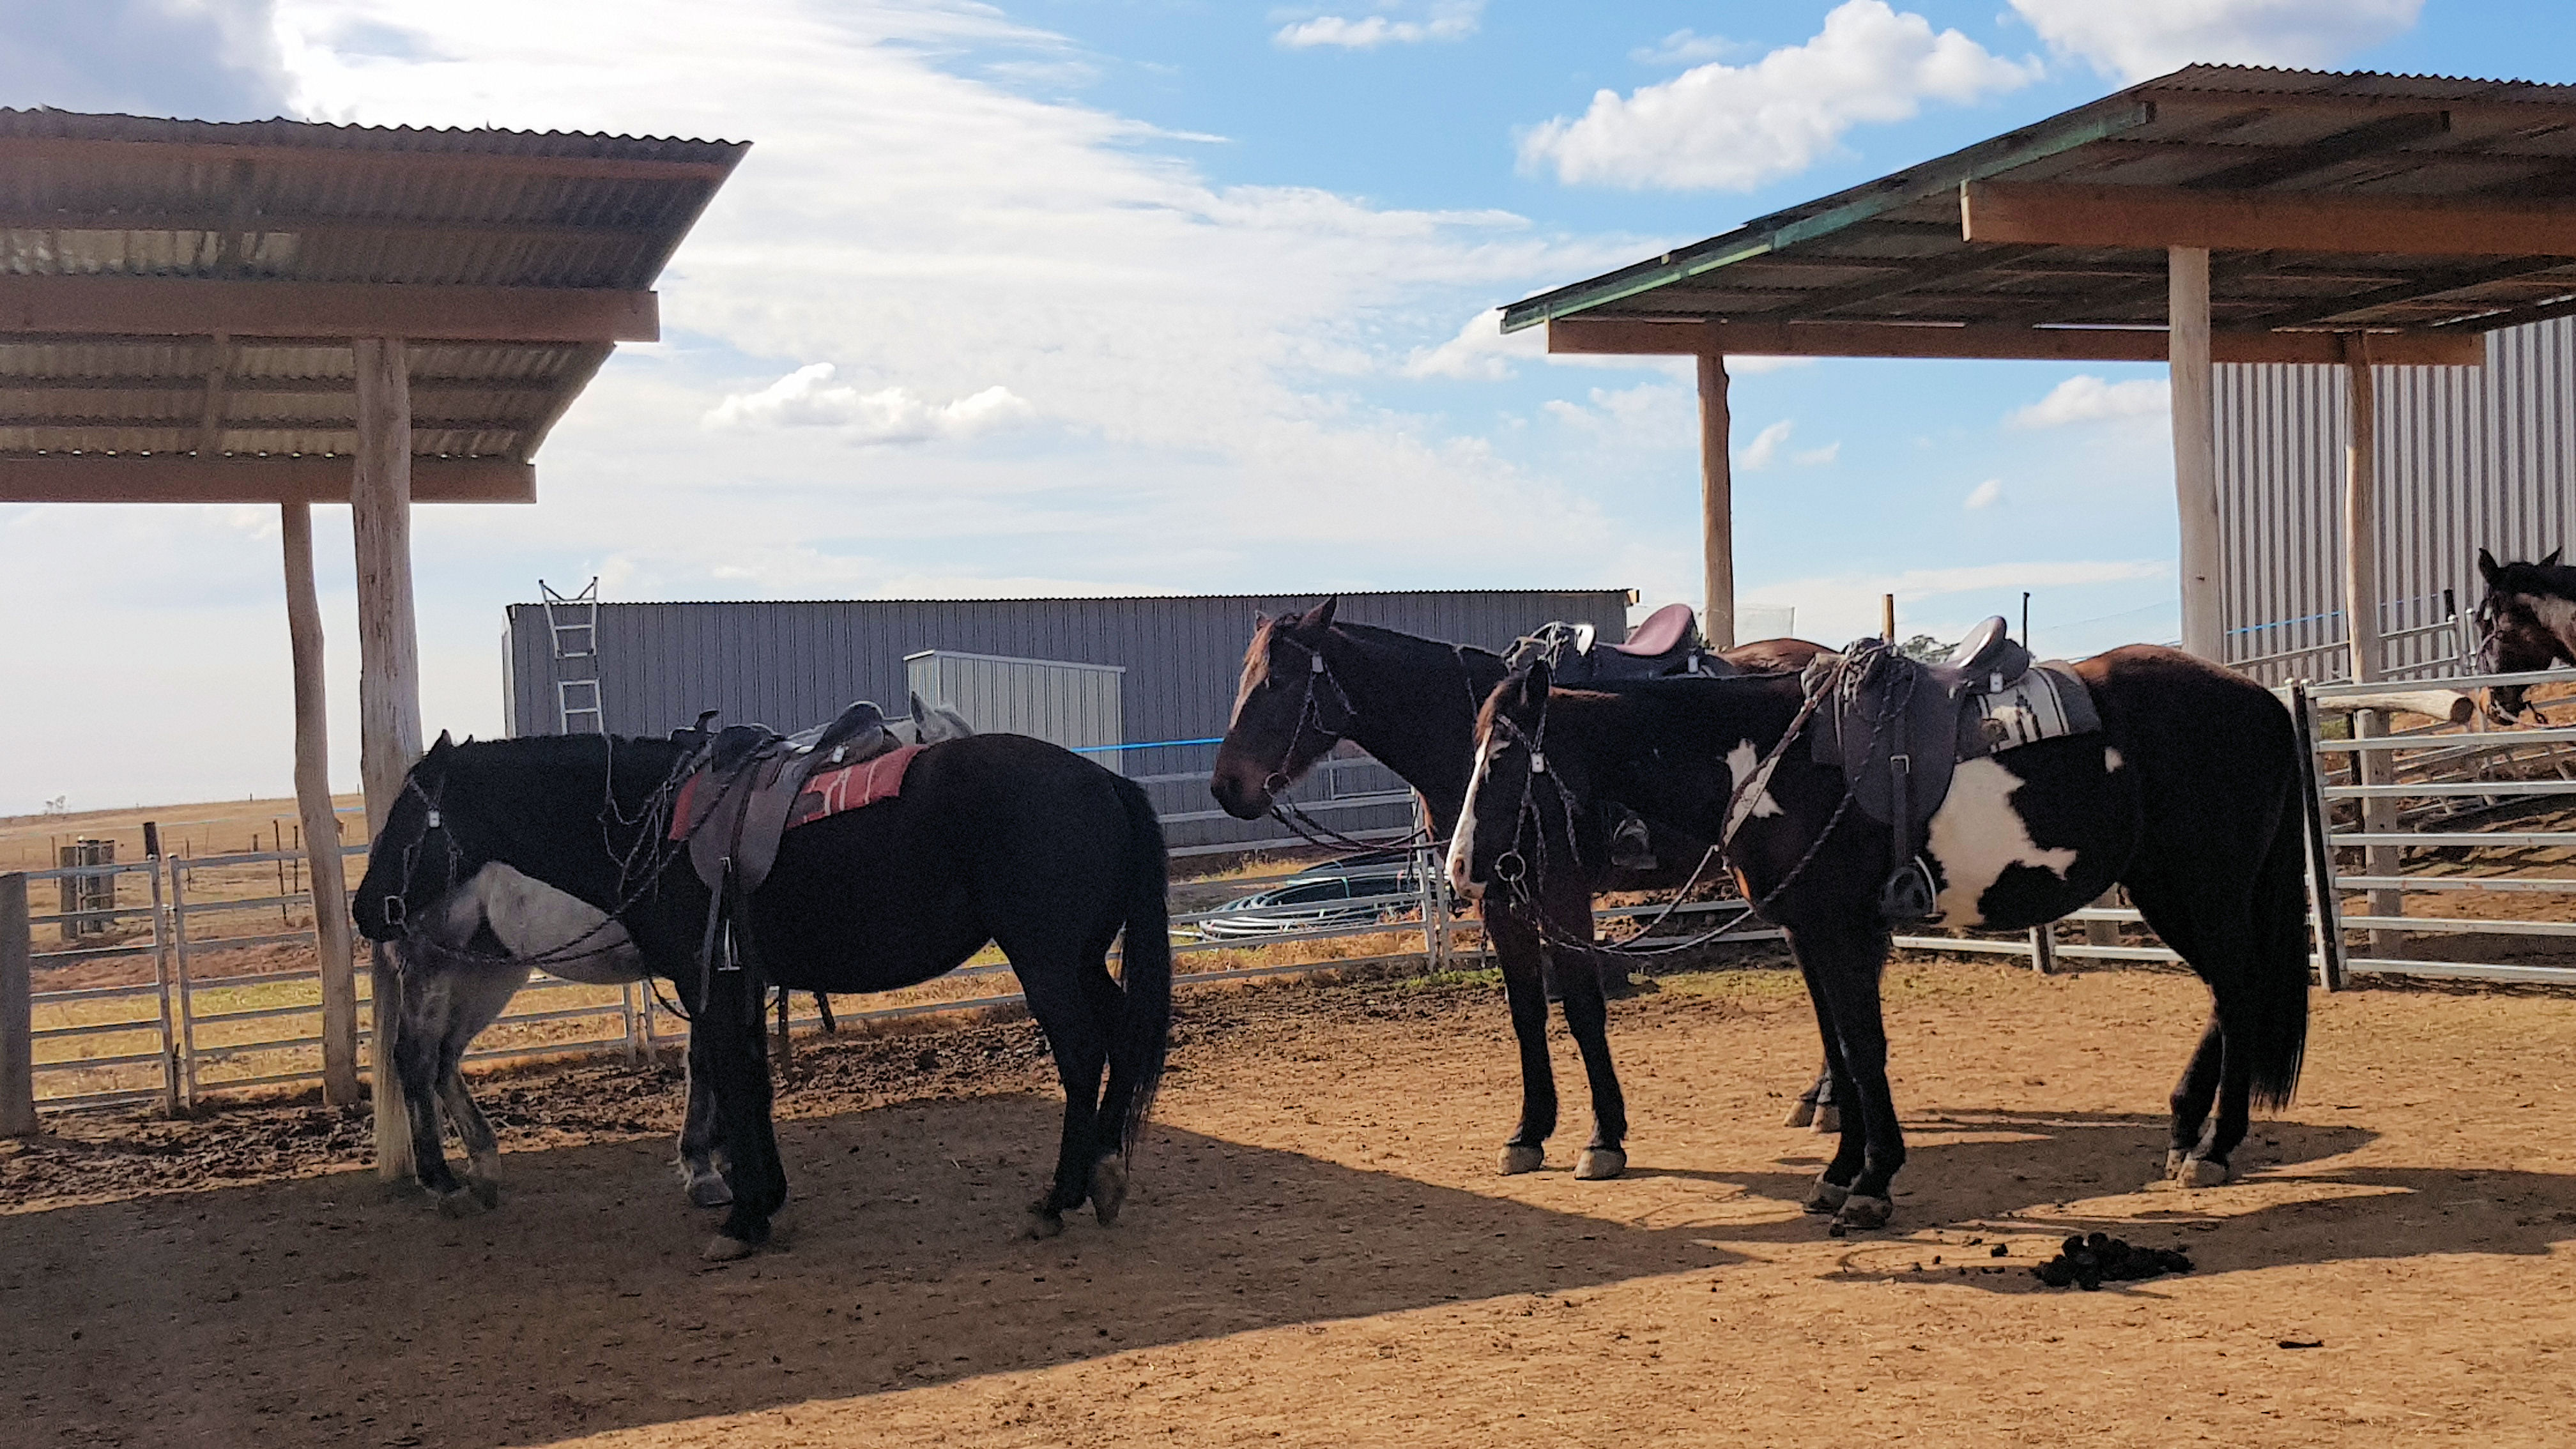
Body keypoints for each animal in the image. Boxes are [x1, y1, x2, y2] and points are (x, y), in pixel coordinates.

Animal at [350, 727, 1169, 1258]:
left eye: (404, 820)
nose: (364, 910)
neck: (657, 828)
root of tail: (1106, 782)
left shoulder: (707, 982)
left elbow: (733, 1081)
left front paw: (742, 1214)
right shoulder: (734, 981)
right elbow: (750, 1082)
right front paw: (759, 1198)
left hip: (1049, 960)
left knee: (1084, 1054)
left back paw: (1057, 1198)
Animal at [1200, 598, 1823, 1176]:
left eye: (1277, 681)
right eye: (1245, 679)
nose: (1227, 786)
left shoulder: (1562, 895)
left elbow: (1582, 1008)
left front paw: (1604, 1138)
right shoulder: (1501, 898)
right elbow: (1526, 1009)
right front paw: (1529, 1132)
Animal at [1453, 649, 2318, 1222]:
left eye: (1503, 758)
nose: (1463, 868)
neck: (1770, 757)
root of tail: (2265, 702)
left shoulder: (1845, 931)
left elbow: (1864, 1051)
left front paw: (1871, 1183)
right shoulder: (1810, 934)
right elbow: (1839, 1049)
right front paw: (1840, 1173)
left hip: (2199, 890)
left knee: (2240, 990)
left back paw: (2213, 1147)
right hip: (2176, 892)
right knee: (2229, 994)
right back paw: (2185, 1131)